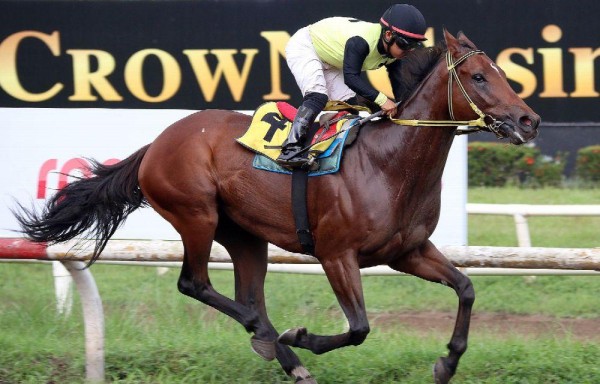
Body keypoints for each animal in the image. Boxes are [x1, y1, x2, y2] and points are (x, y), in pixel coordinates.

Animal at [14, 30, 540, 384]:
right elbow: (359, 327)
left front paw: (447, 362)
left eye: (502, 73)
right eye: (478, 76)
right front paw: (301, 336)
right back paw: (272, 337)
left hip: (246, 235)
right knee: (196, 284)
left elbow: (466, 287)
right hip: (197, 215)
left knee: (248, 296)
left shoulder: (406, 252)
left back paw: (282, 353)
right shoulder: (336, 254)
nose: (528, 121)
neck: (389, 161)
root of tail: (157, 144)